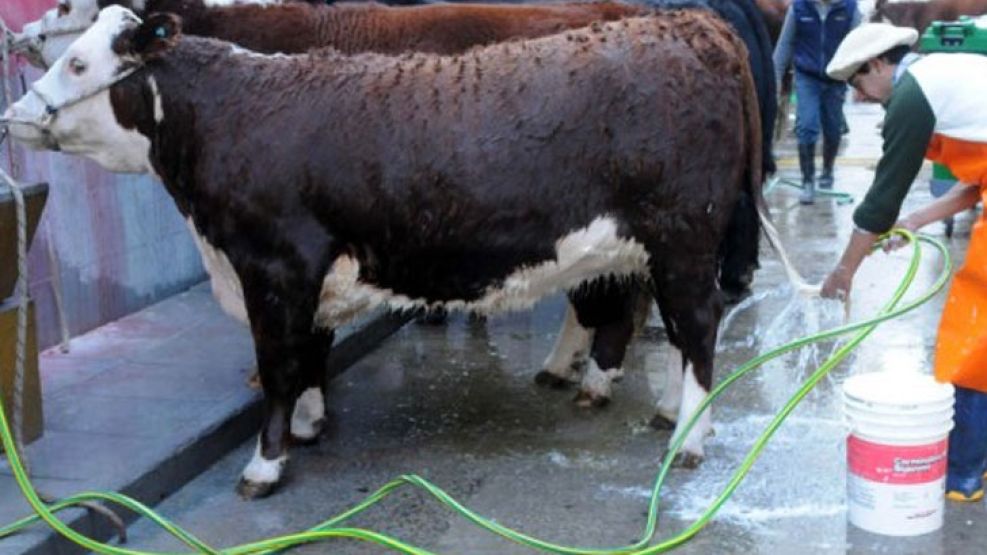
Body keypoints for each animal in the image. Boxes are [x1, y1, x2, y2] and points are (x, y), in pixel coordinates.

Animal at [3, 6, 764, 498]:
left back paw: (687, 439)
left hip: (684, 241)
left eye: (78, 60)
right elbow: (309, 352)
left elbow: (277, 365)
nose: (16, 114)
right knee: (656, 322)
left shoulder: (274, 265)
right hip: (645, 250)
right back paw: (647, 403)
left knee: (698, 328)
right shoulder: (300, 275)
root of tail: (690, 26)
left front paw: (264, 464)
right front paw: (309, 425)